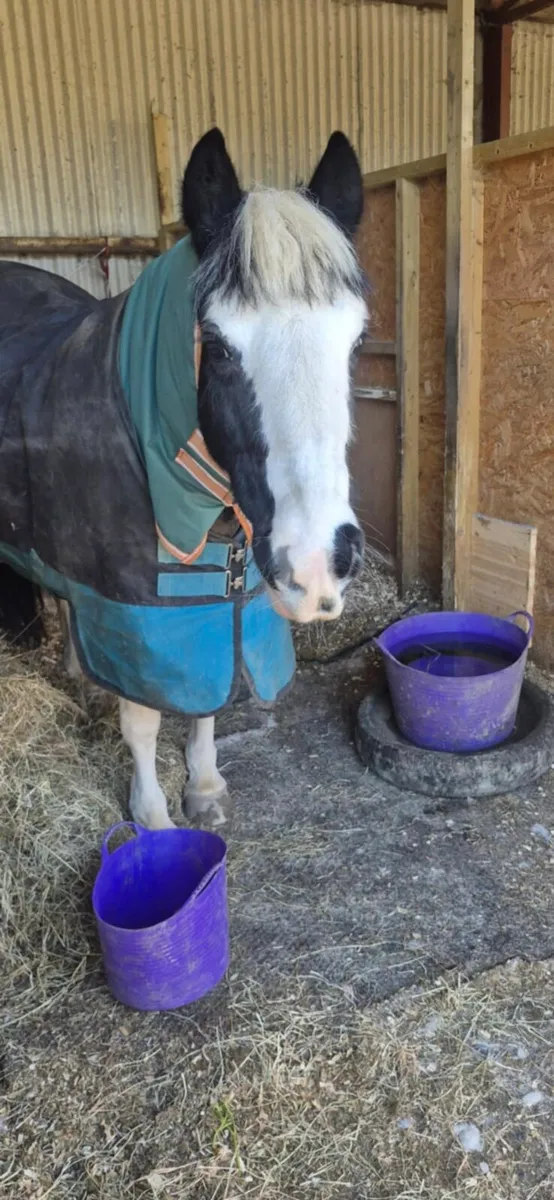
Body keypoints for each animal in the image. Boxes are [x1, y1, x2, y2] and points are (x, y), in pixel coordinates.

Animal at [0, 128, 368, 830]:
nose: (319, 566)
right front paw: (153, 818)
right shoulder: (135, 618)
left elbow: (208, 698)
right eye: (218, 347)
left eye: (357, 342)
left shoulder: (214, 610)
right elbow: (143, 721)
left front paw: (203, 785)